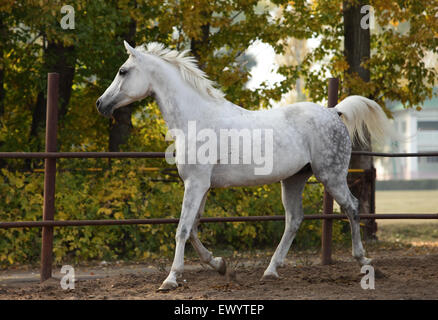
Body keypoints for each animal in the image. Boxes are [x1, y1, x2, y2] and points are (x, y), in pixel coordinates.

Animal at [97, 41, 392, 292]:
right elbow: (193, 228)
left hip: (331, 176)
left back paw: (365, 261)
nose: (101, 104)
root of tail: (334, 112)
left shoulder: (195, 184)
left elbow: (182, 229)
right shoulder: (202, 186)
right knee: (294, 219)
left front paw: (171, 279)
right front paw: (220, 265)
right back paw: (271, 271)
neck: (196, 119)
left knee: (352, 207)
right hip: (294, 179)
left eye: (123, 71)